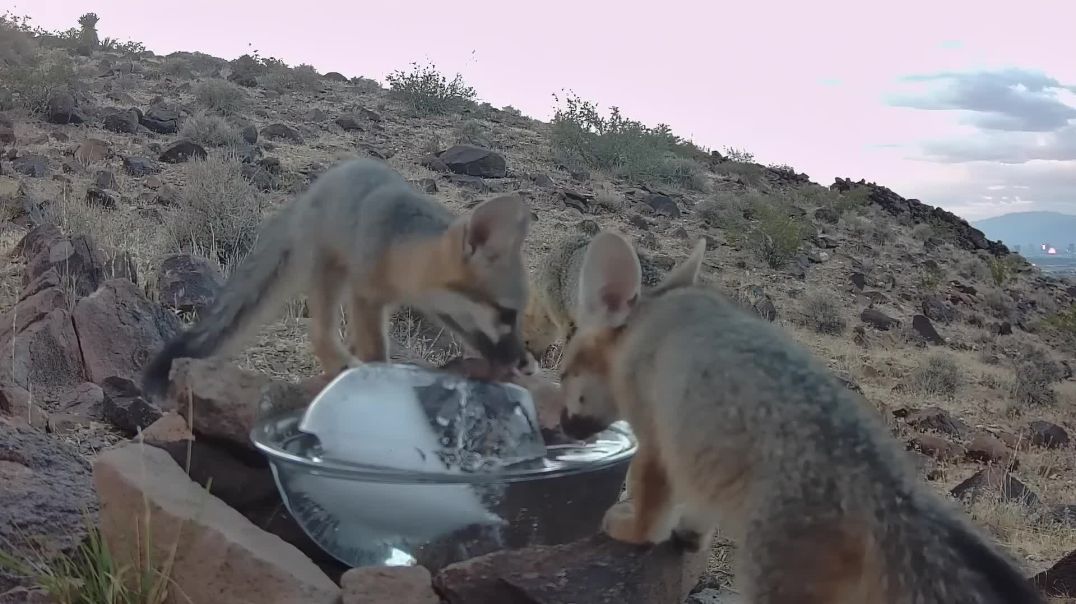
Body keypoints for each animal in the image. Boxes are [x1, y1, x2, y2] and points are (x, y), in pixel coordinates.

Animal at [142, 158, 535, 400]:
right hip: (329, 273)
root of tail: (309, 194)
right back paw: (339, 365)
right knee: (320, 335)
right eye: (507, 313)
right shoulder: (366, 295)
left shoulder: (438, 308)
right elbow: (376, 349)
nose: (520, 360)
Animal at [555, 230, 1045, 604]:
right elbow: (697, 508)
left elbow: (651, 509)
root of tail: (891, 494)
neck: (654, 319)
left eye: (562, 374)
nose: (563, 429)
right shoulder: (698, 447)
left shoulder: (657, 436)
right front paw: (690, 535)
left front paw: (631, 529)